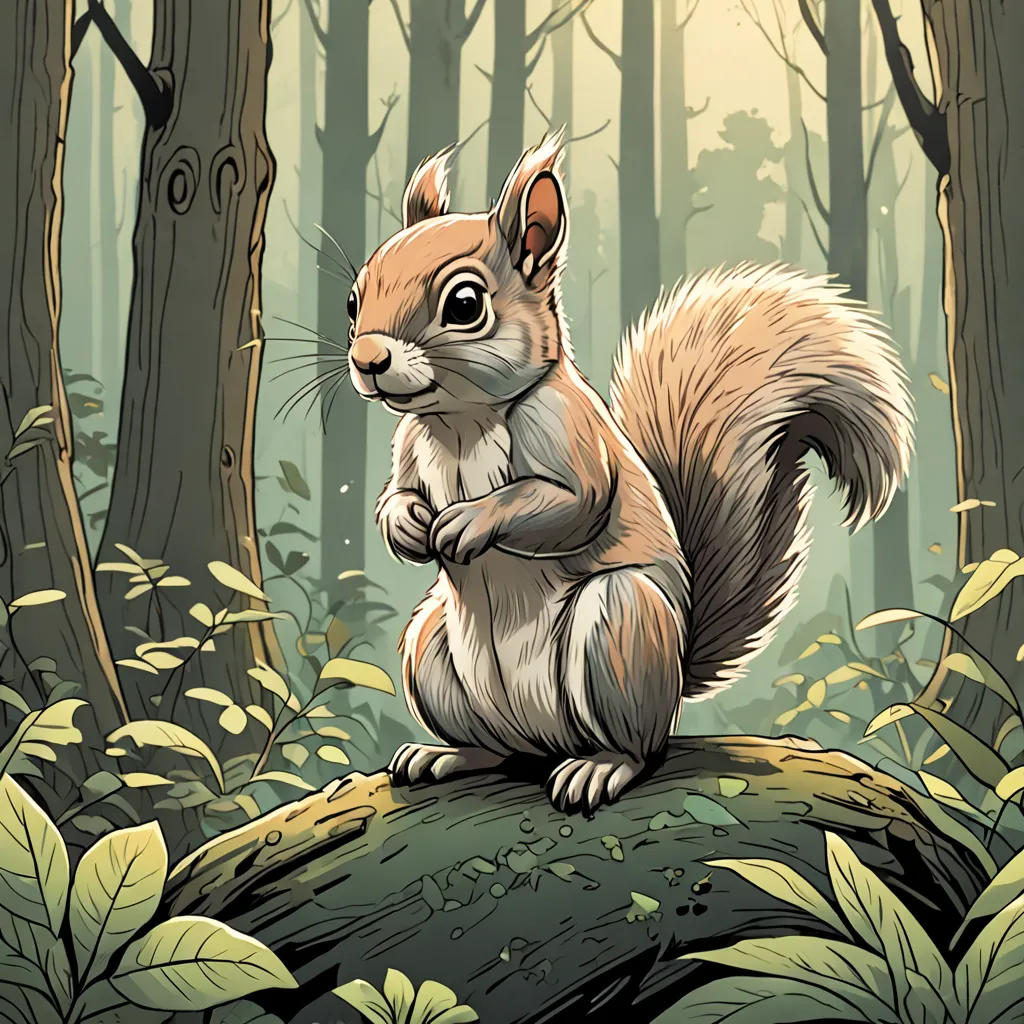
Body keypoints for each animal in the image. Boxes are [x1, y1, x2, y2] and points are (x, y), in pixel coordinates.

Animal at [344, 131, 914, 814]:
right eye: (354, 298)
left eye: (465, 304)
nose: (367, 359)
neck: (461, 422)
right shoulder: (409, 444)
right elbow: (395, 495)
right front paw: (406, 525)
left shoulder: (567, 433)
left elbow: (572, 504)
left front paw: (466, 523)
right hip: (430, 650)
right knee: (495, 748)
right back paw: (446, 754)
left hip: (620, 626)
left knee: (639, 748)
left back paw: (599, 767)